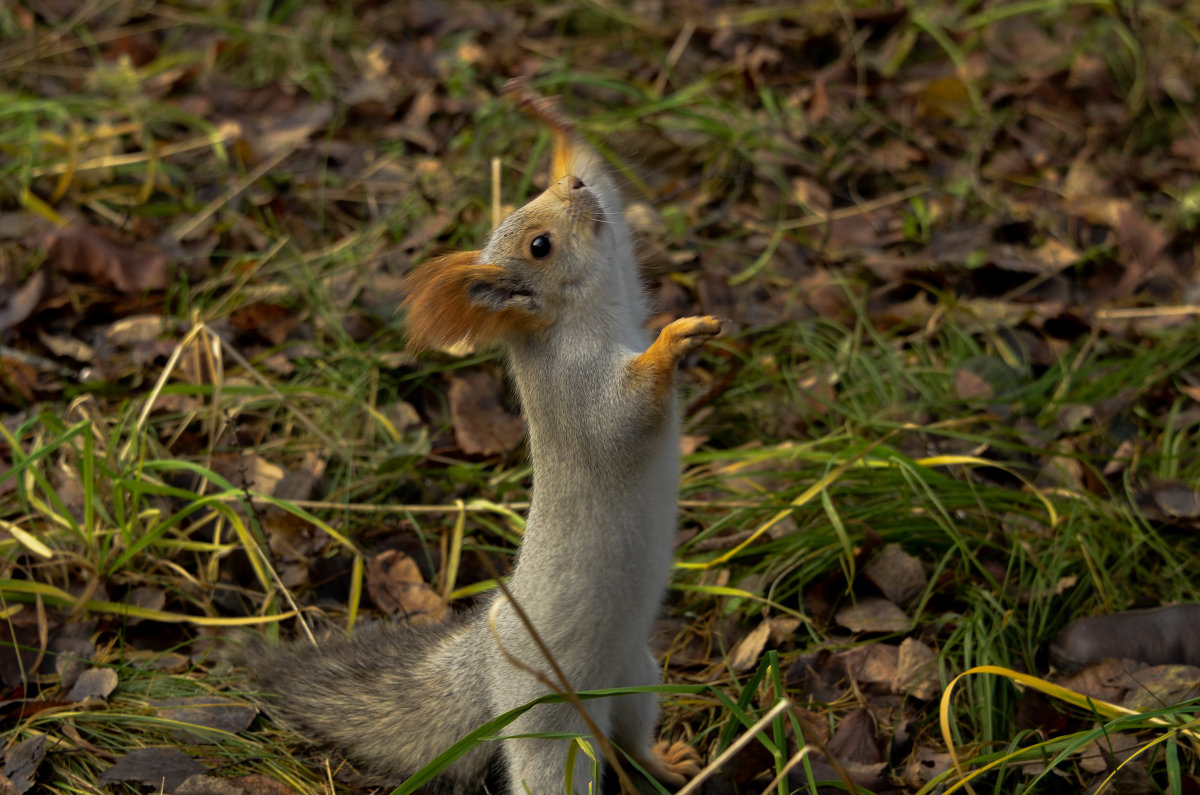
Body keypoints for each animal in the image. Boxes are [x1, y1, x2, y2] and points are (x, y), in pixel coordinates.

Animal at [238, 81, 715, 795]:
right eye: (540, 246)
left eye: (541, 197)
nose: (574, 188)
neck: (589, 315)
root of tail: (487, 671)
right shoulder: (578, 393)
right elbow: (623, 415)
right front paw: (670, 344)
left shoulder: (625, 285)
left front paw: (547, 116)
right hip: (550, 734)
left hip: (638, 680)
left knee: (632, 742)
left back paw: (671, 762)